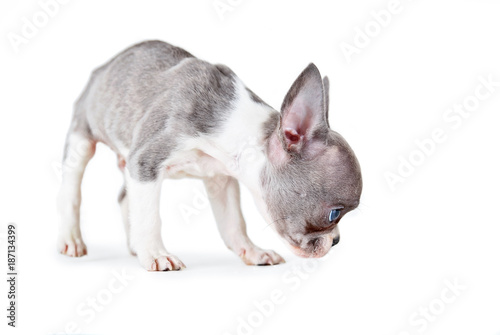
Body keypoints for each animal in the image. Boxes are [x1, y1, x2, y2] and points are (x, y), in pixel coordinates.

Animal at [57, 40, 364, 272]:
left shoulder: (220, 179)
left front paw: (252, 251)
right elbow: (149, 217)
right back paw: (72, 239)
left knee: (124, 198)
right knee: (72, 193)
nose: (336, 240)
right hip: (82, 139)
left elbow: (234, 222)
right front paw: (156, 253)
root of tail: (104, 66)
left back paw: (134, 245)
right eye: (334, 213)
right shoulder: (146, 163)